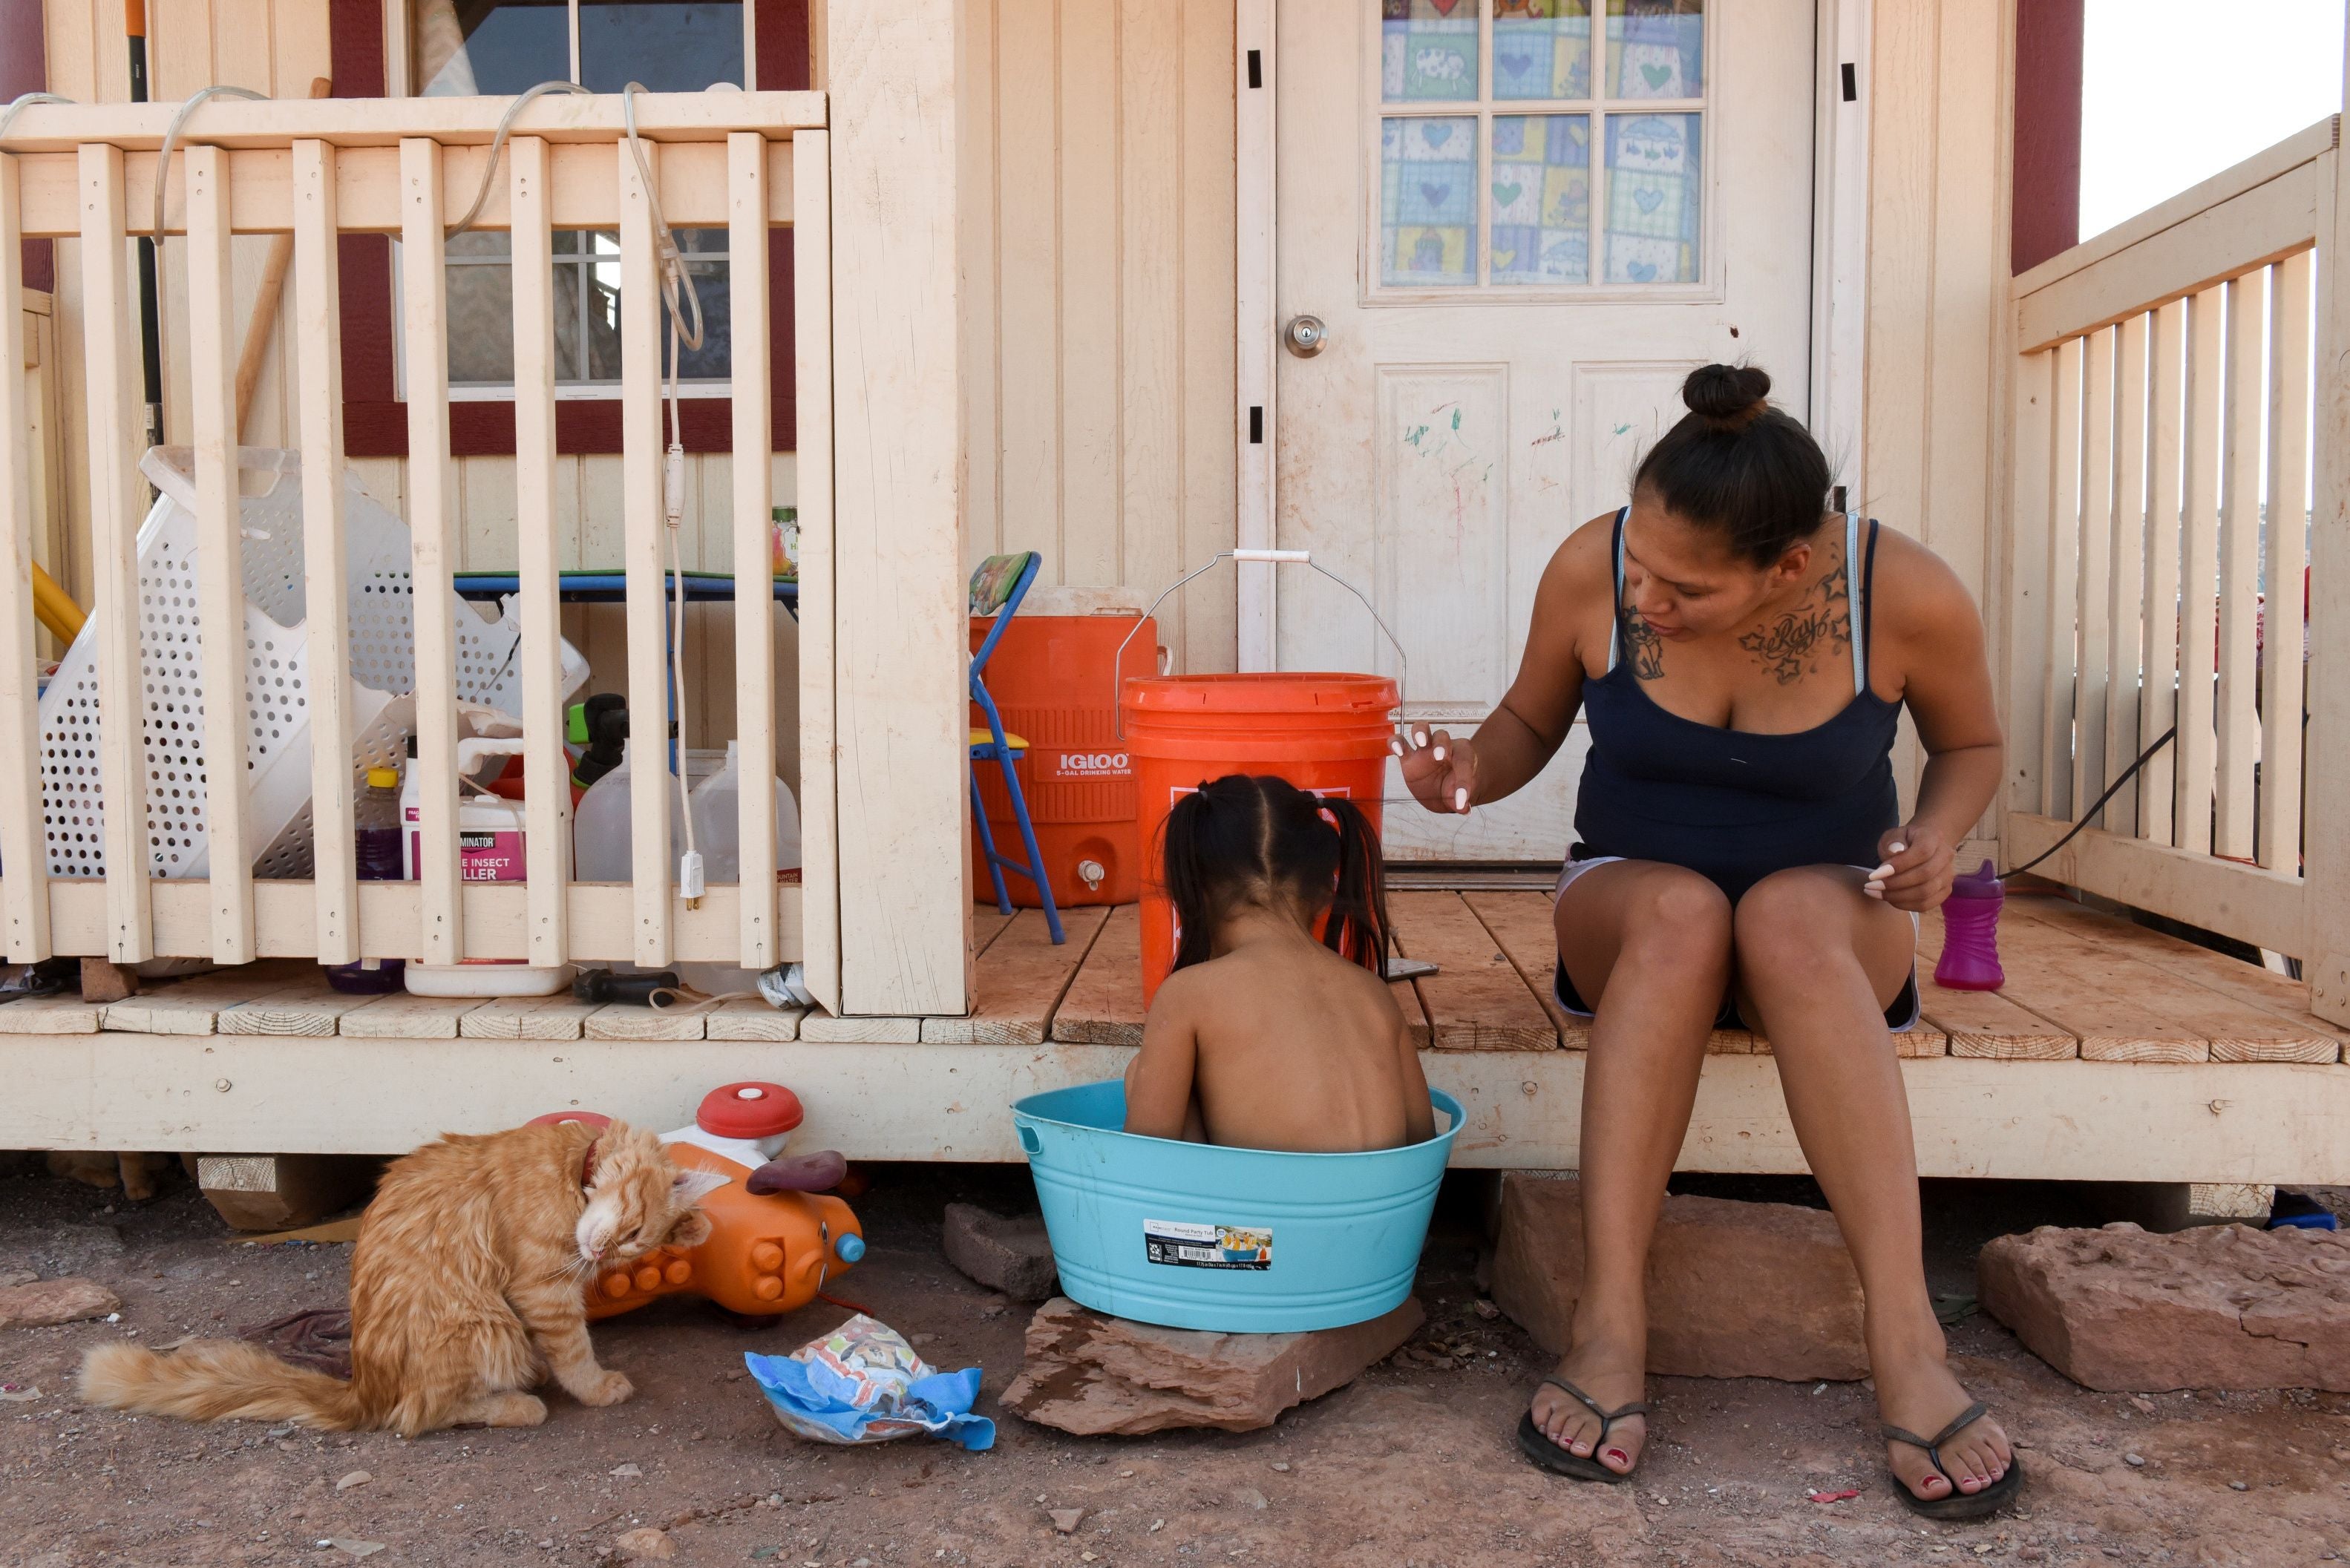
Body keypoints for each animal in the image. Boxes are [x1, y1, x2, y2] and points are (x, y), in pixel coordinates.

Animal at [78, 1114, 719, 1438]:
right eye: (633, 1235)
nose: (602, 1253)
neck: (571, 1161)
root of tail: (363, 1385)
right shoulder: (543, 1289)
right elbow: (576, 1352)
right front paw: (597, 1387)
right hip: (483, 1322)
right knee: (416, 1416)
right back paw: (518, 1403)